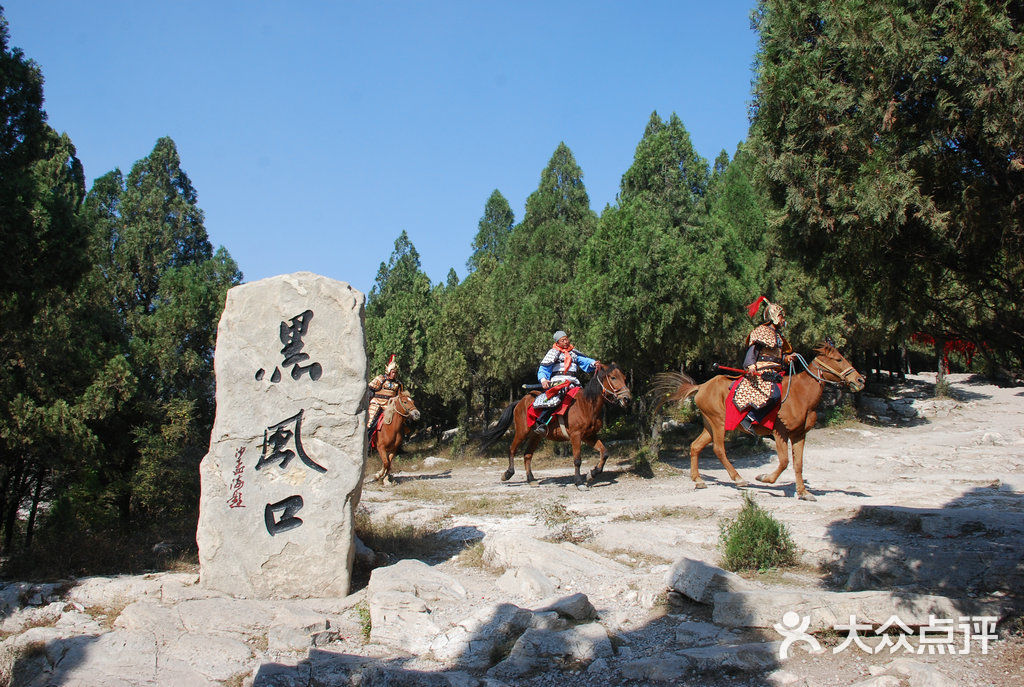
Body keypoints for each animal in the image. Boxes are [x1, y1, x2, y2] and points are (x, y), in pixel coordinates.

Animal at [479, 364, 630, 489]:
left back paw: (531, 479)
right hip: (522, 432)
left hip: (536, 436)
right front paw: (579, 482)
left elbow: (604, 453)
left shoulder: (589, 436)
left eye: (624, 377)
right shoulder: (576, 436)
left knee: (527, 455)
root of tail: (519, 402)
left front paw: (591, 474)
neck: (586, 405)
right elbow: (577, 460)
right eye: (613, 377)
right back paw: (508, 474)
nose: (627, 398)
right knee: (512, 449)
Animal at [651, 341, 860, 499]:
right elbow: (784, 461)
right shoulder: (780, 432)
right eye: (838, 359)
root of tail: (702, 386)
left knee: (695, 446)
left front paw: (803, 492)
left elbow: (798, 463)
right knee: (719, 449)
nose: (860, 380)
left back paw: (699, 480)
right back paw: (738, 478)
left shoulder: (799, 434)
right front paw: (765, 478)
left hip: (710, 425)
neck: (801, 394)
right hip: (719, 423)